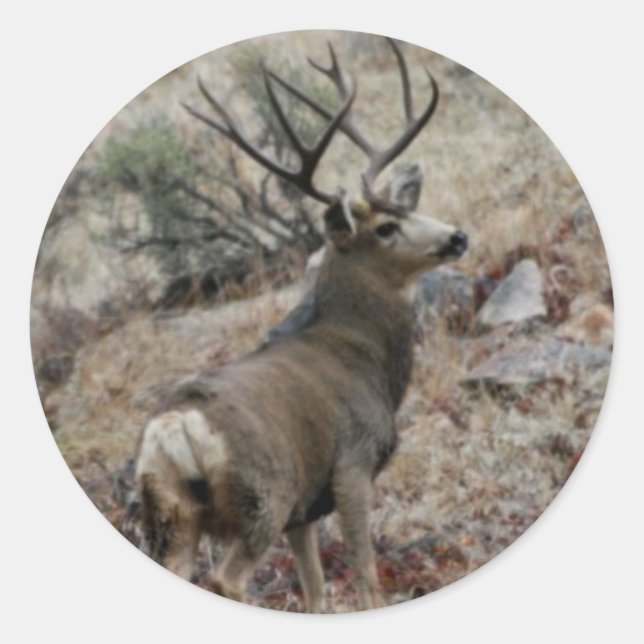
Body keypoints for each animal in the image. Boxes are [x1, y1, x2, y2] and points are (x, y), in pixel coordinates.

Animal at [135, 37, 468, 613]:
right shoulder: (351, 466)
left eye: (407, 207)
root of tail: (175, 428)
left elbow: (316, 594)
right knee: (227, 579)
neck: (362, 352)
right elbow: (366, 576)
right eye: (386, 227)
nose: (457, 237)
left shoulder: (303, 514)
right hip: (262, 495)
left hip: (172, 515)